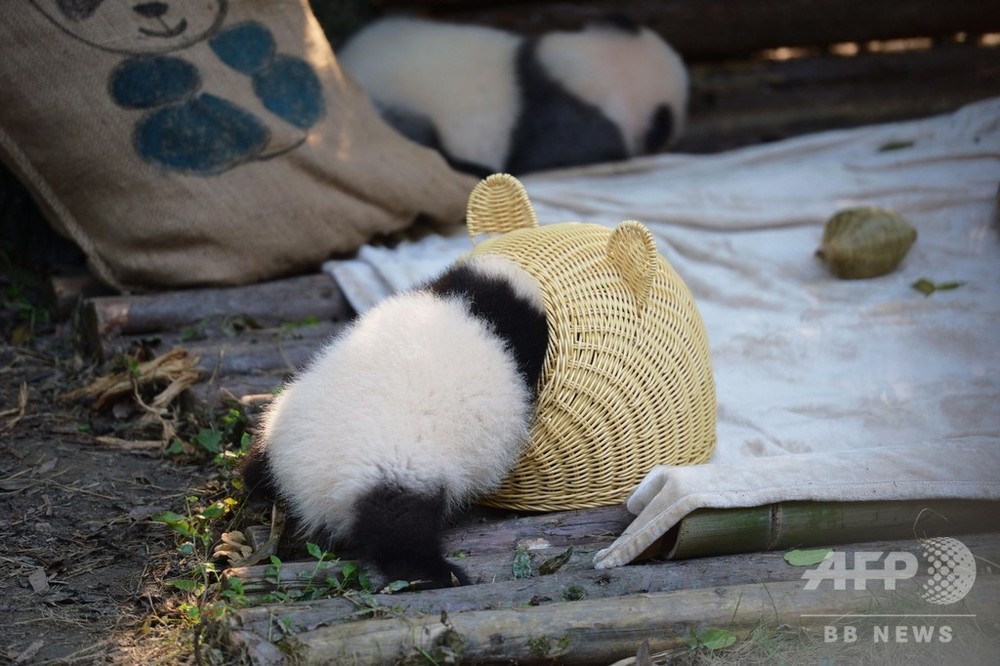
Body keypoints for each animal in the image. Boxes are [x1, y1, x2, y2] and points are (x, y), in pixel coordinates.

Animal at [242, 255, 552, 588]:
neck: (476, 305)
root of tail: (300, 480)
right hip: (398, 468)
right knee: (397, 527)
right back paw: (434, 572)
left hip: (281, 418)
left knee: (258, 463)